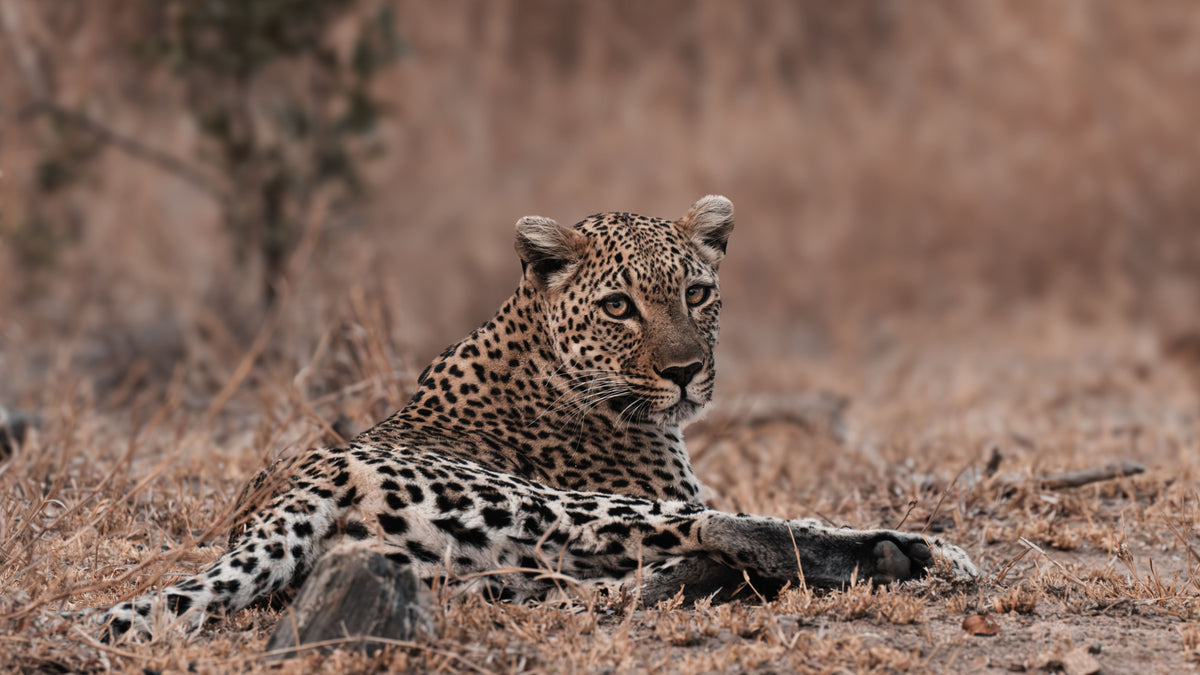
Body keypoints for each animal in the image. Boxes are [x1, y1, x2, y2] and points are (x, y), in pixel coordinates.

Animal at [94, 195, 978, 640]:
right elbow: (751, 514)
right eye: (620, 306)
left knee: (611, 584)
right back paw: (904, 553)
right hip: (542, 504)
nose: (685, 372)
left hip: (481, 570)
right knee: (722, 529)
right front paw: (931, 548)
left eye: (697, 293)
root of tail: (286, 496)